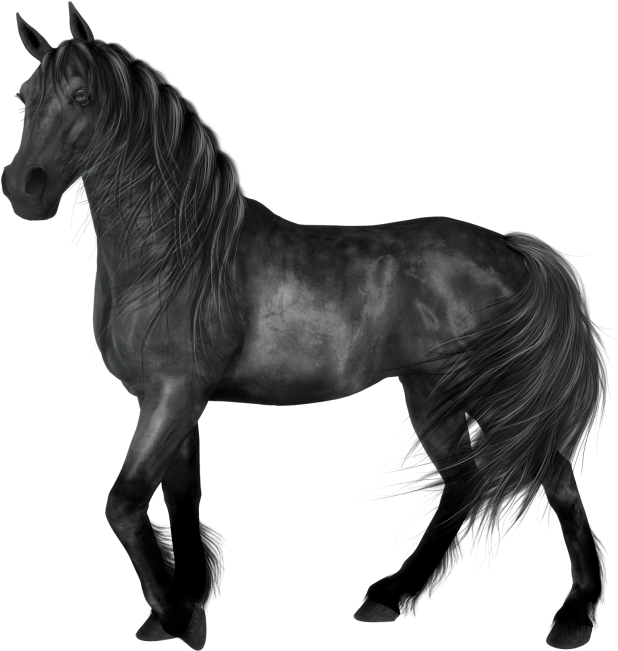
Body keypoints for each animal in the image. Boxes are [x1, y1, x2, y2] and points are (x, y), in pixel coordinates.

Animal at [2, 4, 608, 649]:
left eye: (83, 95)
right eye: (23, 97)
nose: (23, 187)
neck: (177, 252)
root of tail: (514, 254)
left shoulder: (173, 394)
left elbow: (125, 503)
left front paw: (174, 613)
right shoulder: (176, 401)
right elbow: (182, 501)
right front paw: (188, 605)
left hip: (487, 394)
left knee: (552, 481)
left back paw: (573, 615)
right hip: (431, 395)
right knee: (464, 484)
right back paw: (392, 596)